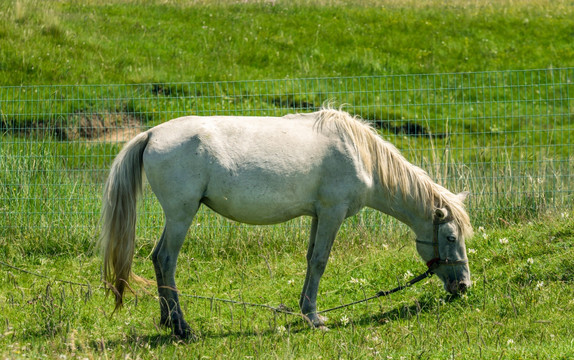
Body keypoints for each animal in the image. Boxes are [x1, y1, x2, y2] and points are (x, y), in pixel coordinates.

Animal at [99, 108, 474, 338]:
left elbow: (310, 261)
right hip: (182, 214)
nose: (464, 286)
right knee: (166, 259)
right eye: (451, 237)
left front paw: (305, 310)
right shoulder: (332, 213)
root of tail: (151, 134)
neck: (359, 153)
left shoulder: (318, 215)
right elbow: (320, 261)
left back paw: (167, 320)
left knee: (157, 259)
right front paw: (314, 317)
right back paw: (181, 326)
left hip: (177, 216)